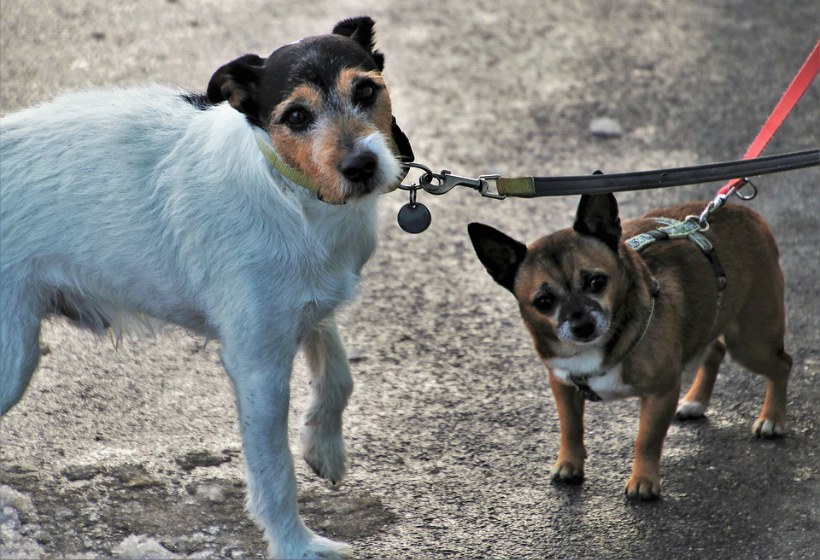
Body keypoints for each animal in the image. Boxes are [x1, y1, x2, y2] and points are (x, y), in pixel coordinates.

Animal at [0, 15, 410, 556]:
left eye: (365, 90)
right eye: (297, 116)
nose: (362, 166)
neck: (292, 193)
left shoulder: (304, 309)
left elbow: (339, 373)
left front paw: (324, 447)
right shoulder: (257, 365)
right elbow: (275, 474)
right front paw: (296, 545)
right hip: (12, 357)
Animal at [470, 195, 792, 500]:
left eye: (597, 282)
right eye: (544, 302)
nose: (583, 325)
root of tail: (747, 213)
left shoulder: (660, 393)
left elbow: (646, 440)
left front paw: (643, 481)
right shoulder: (562, 385)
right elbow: (570, 428)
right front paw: (569, 464)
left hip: (751, 342)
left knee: (782, 363)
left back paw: (772, 419)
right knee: (715, 350)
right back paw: (697, 401)